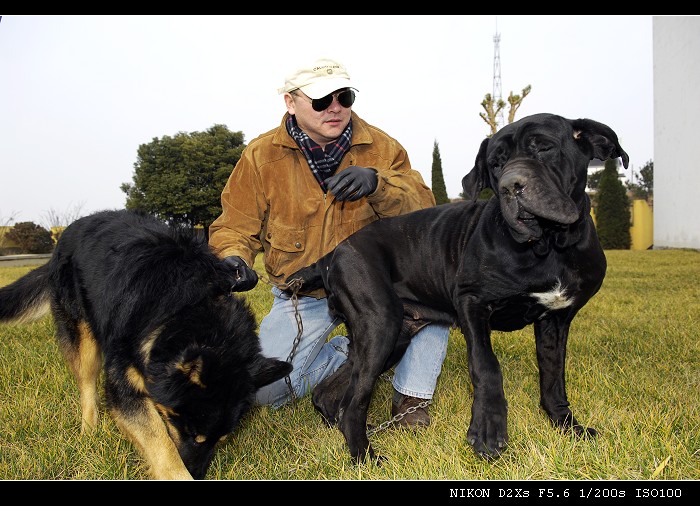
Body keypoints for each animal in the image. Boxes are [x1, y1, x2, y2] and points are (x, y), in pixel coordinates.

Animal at [284, 113, 628, 462]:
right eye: (496, 164)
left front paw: (567, 426)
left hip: (394, 334)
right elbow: (486, 365)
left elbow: (554, 376)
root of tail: (331, 255)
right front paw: (488, 431)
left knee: (331, 392)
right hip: (380, 324)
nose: (510, 186)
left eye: (544, 148)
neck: (550, 246)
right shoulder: (472, 302)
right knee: (355, 399)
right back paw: (364, 454)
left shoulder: (556, 319)